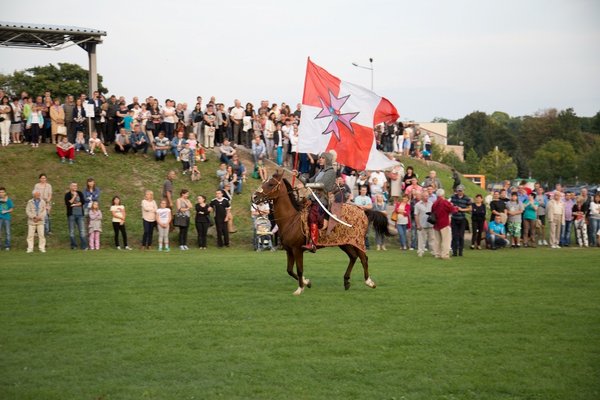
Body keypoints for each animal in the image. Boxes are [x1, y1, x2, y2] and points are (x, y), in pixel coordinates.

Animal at [252, 170, 390, 296]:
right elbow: (289, 270)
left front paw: (299, 289)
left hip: (357, 241)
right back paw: (346, 281)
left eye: (270, 184)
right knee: (353, 257)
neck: (291, 219)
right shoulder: (289, 250)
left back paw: (369, 282)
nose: (254, 197)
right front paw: (307, 282)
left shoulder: (297, 249)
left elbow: (299, 269)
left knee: (363, 258)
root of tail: (362, 211)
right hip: (344, 243)